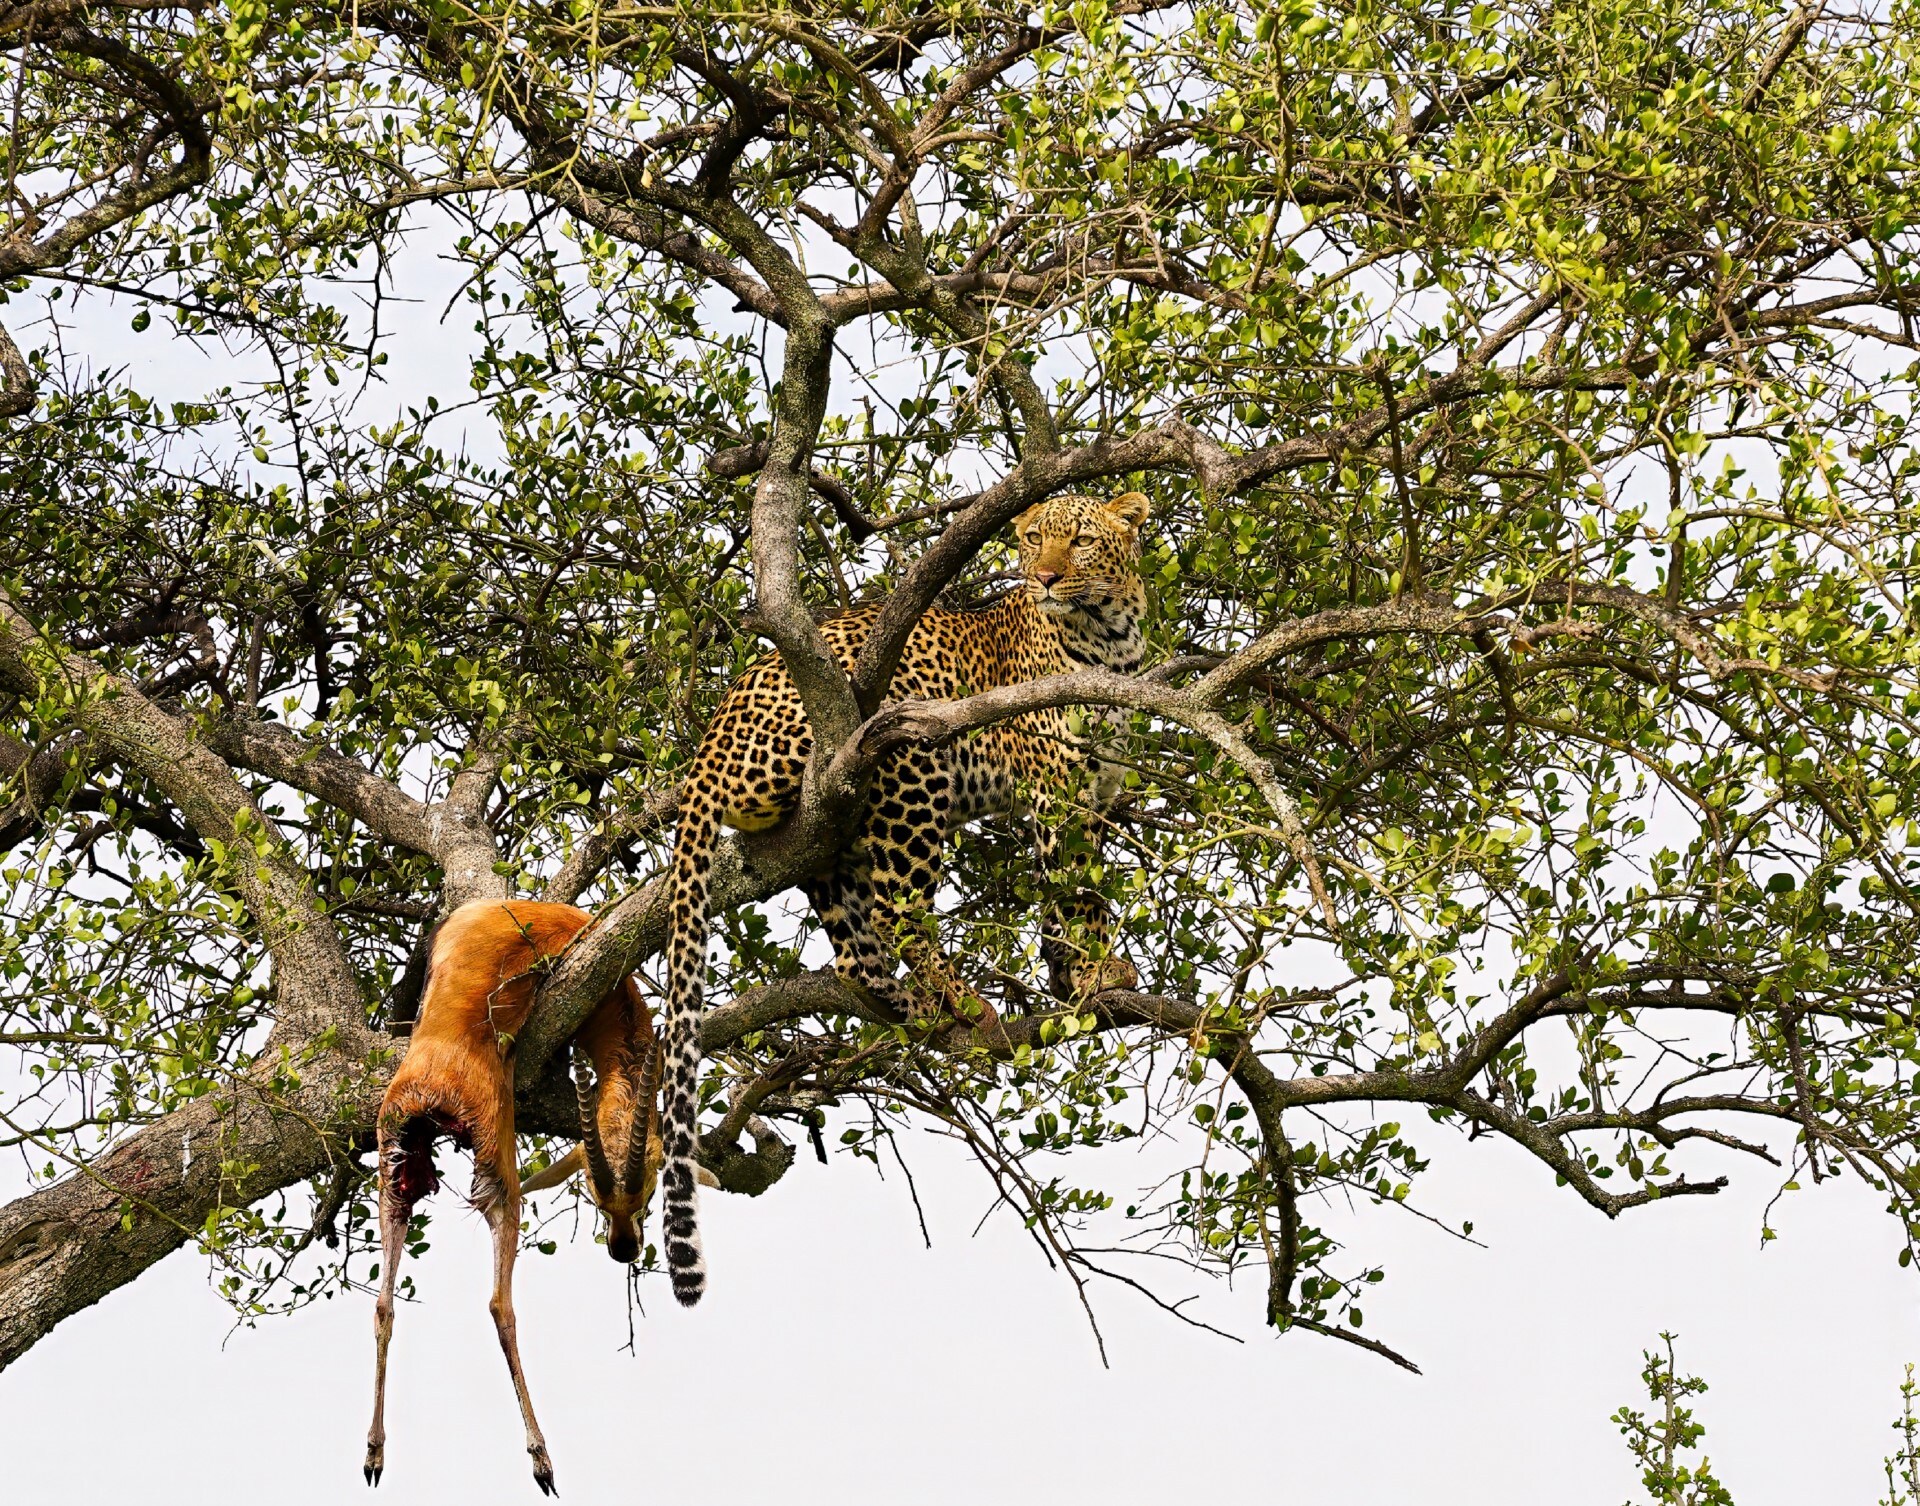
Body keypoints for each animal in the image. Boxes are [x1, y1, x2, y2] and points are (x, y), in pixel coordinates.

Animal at [364, 899, 693, 1494]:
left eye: (647, 1191)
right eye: (598, 1196)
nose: (625, 1250)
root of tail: (433, 1084)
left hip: (395, 1170)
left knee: (382, 1303)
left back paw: (374, 1454)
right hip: (500, 1178)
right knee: (500, 1304)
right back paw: (542, 1460)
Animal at [656, 489, 1154, 1307]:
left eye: (1080, 540)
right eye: (1031, 539)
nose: (1046, 578)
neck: (1108, 636)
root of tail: (707, 743)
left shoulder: (1099, 790)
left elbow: (1071, 893)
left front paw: (1066, 974)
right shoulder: (1054, 789)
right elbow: (1077, 890)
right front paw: (1095, 972)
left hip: (832, 843)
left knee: (855, 946)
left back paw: (909, 1004)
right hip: (908, 768)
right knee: (900, 912)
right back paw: (958, 1001)